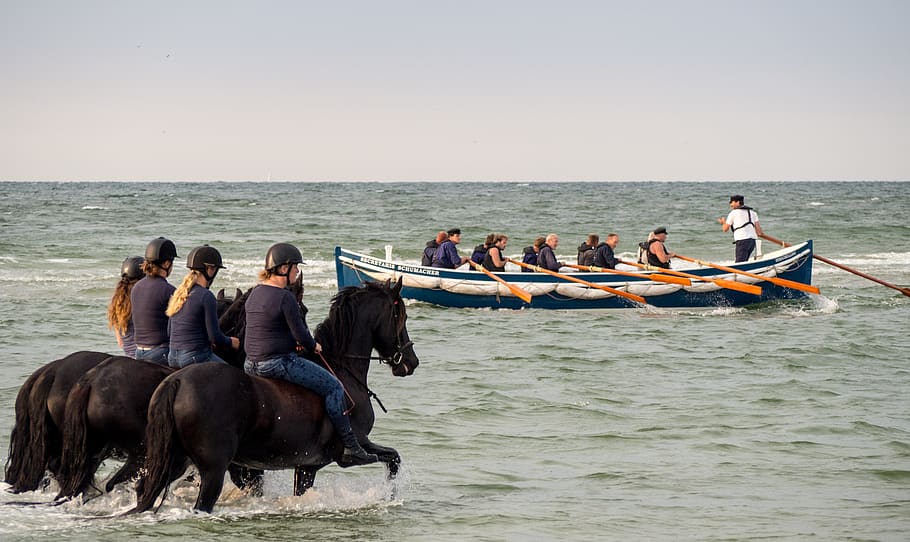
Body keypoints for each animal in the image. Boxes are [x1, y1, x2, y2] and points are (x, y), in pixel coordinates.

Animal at [134, 280, 418, 516]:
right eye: (400, 316)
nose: (411, 362)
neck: (342, 369)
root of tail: (178, 381)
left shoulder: (307, 466)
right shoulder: (355, 447)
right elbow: (393, 459)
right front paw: (389, 496)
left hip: (176, 461)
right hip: (213, 469)